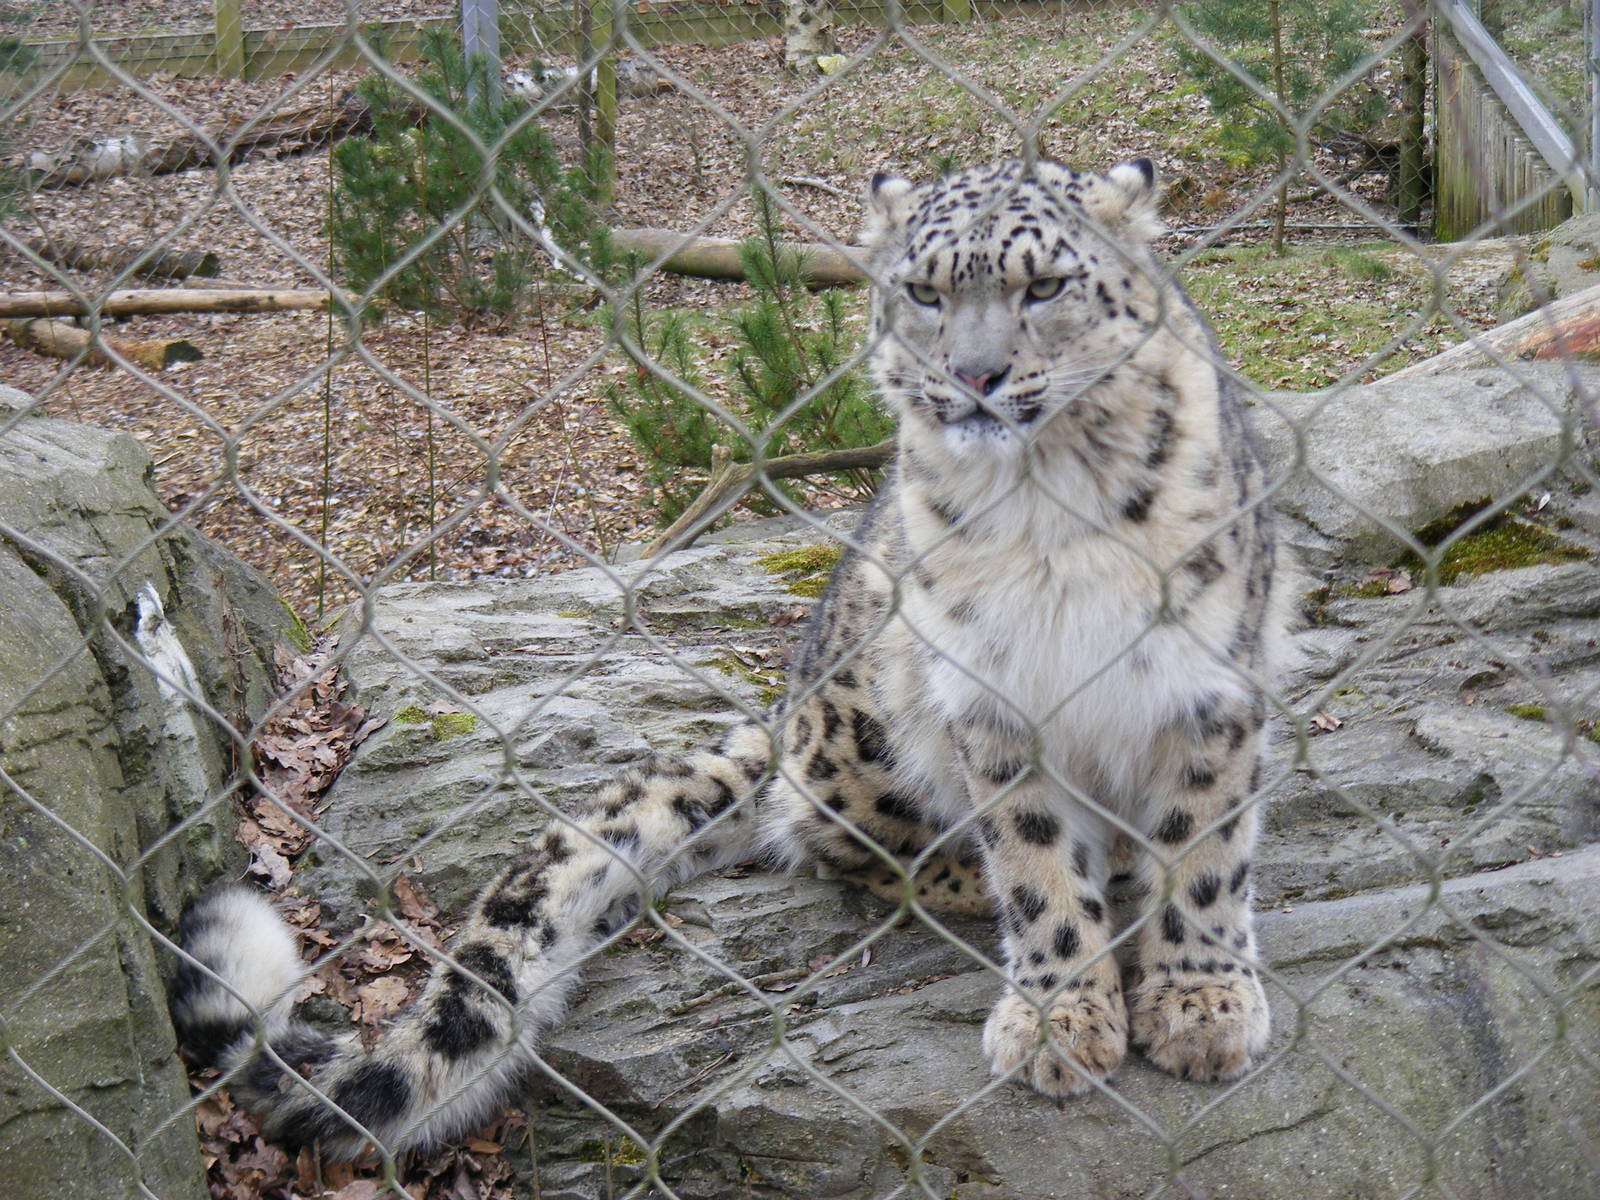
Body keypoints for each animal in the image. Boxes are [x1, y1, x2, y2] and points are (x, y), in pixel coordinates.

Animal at [171, 156, 1285, 1160]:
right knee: (828, 828)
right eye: (924, 293)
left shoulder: (1211, 681)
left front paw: (1201, 1007)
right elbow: (1037, 862)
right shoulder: (993, 698)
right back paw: (970, 869)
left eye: (1045, 285)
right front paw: (1060, 1016)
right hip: (876, 705)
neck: (1048, 507)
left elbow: (1206, 849)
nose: (974, 376)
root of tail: (787, 713)